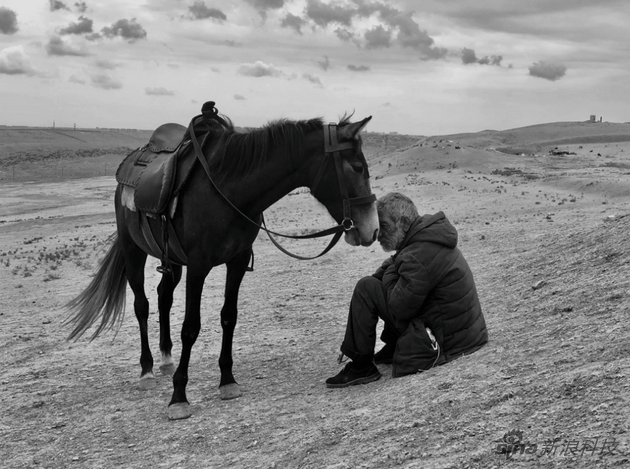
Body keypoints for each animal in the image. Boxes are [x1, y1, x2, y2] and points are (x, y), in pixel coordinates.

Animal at [65, 106, 380, 420]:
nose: (372, 229)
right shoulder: (198, 266)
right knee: (141, 305)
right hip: (134, 251)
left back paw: (166, 358)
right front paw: (179, 397)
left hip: (172, 260)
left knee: (164, 297)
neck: (228, 190)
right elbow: (190, 327)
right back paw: (147, 370)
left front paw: (227, 381)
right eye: (357, 167)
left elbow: (229, 316)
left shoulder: (236, 262)